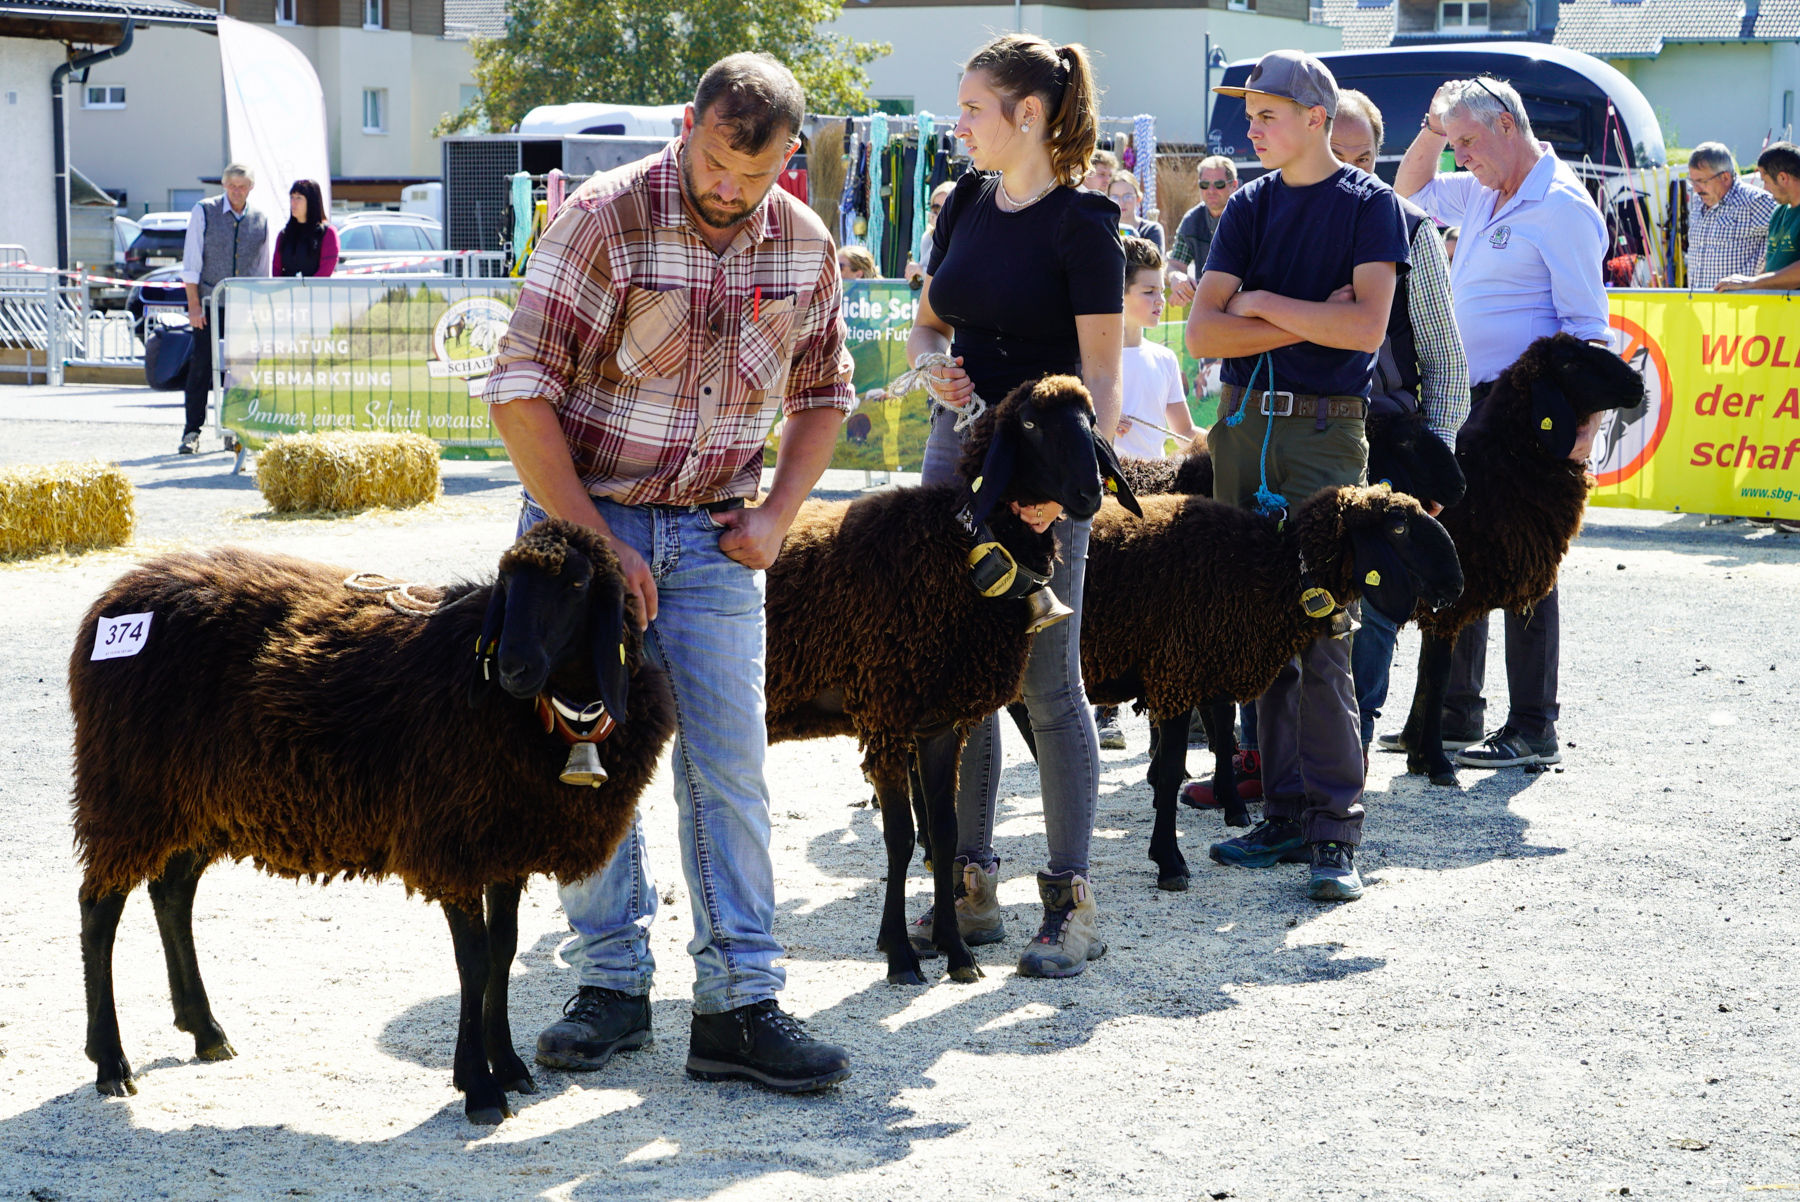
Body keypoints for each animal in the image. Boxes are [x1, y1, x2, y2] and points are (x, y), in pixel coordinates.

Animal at [68, 518, 676, 1130]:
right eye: (508, 585)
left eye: (577, 585)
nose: (512, 668)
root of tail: (120, 593)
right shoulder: (453, 843)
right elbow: (474, 961)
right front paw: (478, 1086)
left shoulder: (504, 845)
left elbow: (503, 952)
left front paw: (506, 1065)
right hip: (126, 792)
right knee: (99, 911)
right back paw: (110, 1061)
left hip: (198, 803)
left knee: (172, 893)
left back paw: (204, 1030)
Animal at [763, 376, 1137, 986]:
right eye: (1029, 425)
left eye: (1089, 421)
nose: (1090, 494)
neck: (960, 544)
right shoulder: (887, 718)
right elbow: (899, 839)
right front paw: (900, 954)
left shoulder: (938, 725)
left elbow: (943, 831)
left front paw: (955, 950)